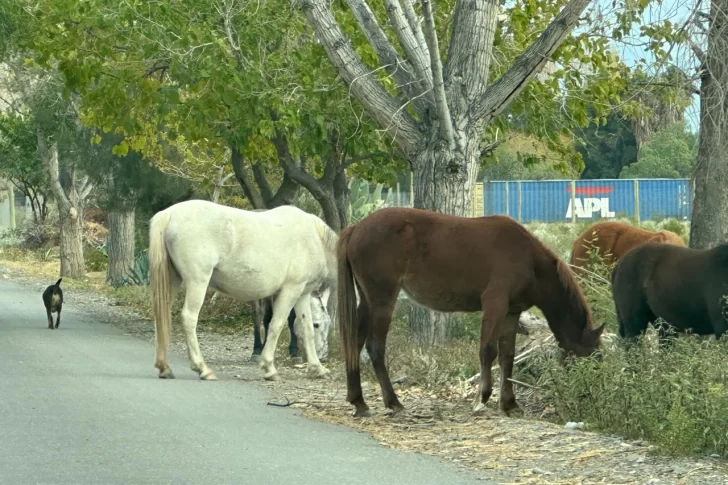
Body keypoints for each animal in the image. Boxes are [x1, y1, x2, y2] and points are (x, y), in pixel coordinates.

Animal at [151, 200, 338, 382]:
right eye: (318, 325)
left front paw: (317, 368)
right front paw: (269, 368)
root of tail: (168, 213)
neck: (314, 238)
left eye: (327, 324)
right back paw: (202, 369)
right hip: (197, 282)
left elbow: (305, 328)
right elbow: (277, 325)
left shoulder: (302, 294)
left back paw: (164, 368)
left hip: (173, 280)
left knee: (161, 314)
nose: (324, 356)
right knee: (189, 318)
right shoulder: (291, 290)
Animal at [336, 207, 604, 416]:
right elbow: (488, 351)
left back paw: (359, 401)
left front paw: (509, 403)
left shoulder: (511, 313)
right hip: (382, 300)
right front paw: (481, 398)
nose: (590, 395)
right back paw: (393, 402)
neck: (528, 258)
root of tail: (357, 228)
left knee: (355, 343)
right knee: (375, 347)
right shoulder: (495, 304)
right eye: (593, 358)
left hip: (367, 302)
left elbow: (507, 356)